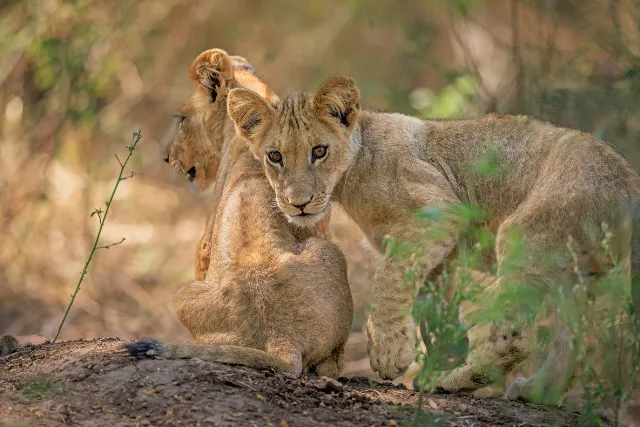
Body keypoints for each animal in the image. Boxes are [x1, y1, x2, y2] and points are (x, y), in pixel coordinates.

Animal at [125, 50, 353, 379]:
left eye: (182, 119)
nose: (166, 157)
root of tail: (280, 338)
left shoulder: (206, 243)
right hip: (329, 250)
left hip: (182, 294)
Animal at [225, 74, 640, 405]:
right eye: (274, 156)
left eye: (319, 151)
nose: (298, 204)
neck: (352, 171)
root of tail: (630, 185)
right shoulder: (440, 251)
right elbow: (433, 309)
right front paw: (435, 359)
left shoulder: (438, 213)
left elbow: (388, 281)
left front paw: (390, 352)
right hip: (576, 277)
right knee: (579, 342)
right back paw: (538, 393)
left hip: (527, 236)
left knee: (515, 337)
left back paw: (457, 382)